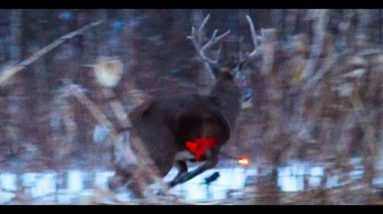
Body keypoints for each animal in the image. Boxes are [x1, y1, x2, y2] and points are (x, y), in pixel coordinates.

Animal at [109, 14, 262, 196]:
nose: (249, 95)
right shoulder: (213, 145)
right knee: (134, 182)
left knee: (114, 182)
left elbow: (183, 174)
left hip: (124, 158)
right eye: (243, 78)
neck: (222, 108)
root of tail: (126, 127)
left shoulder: (180, 158)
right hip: (157, 152)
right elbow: (198, 170)